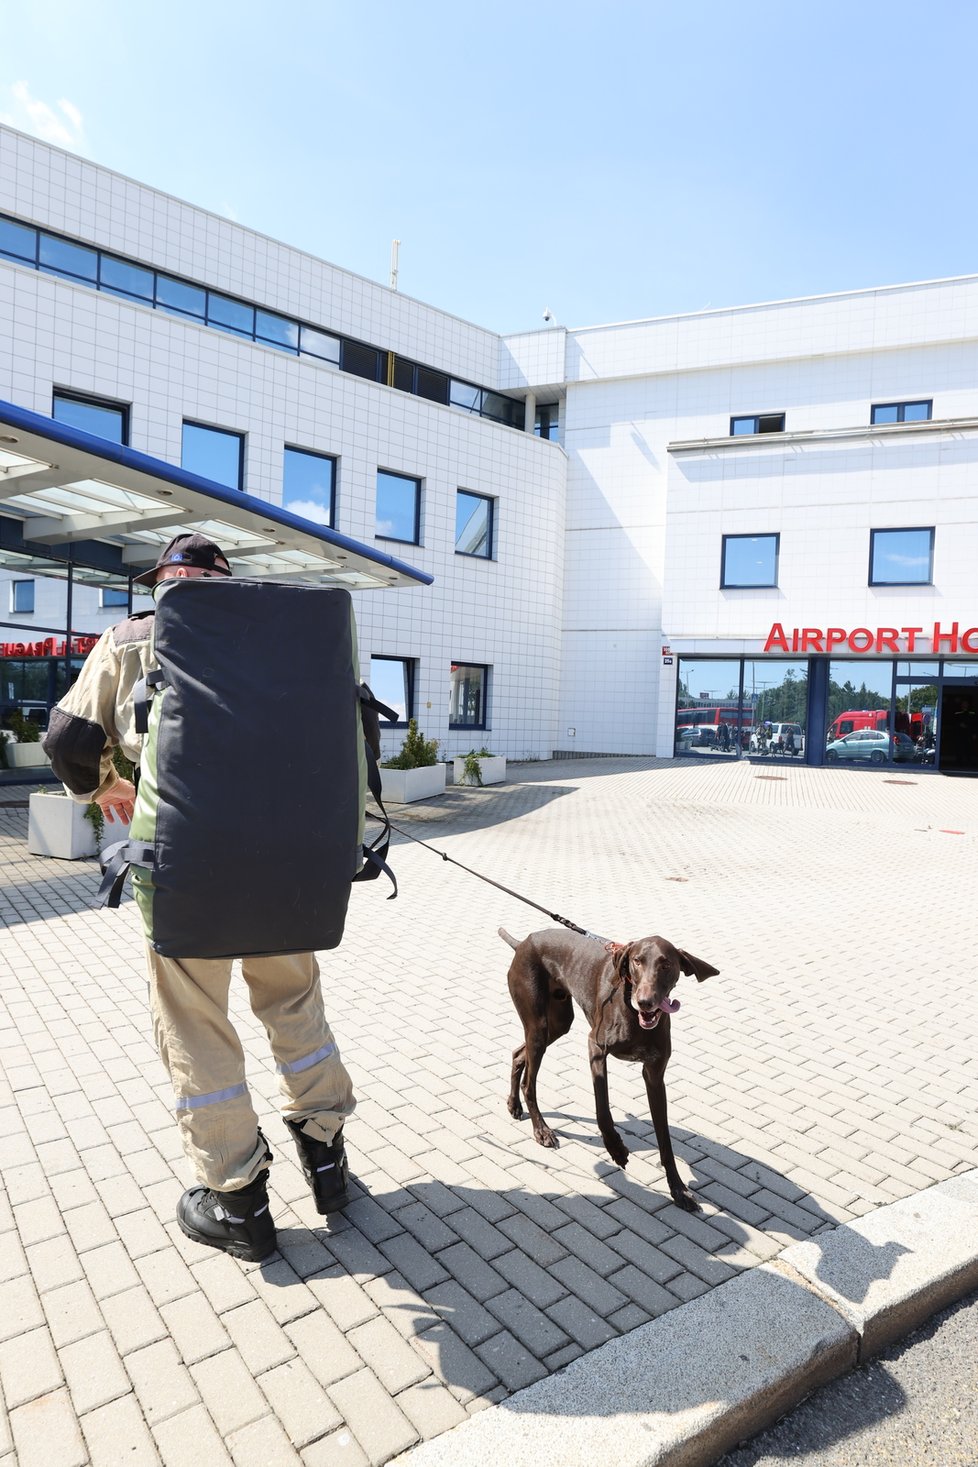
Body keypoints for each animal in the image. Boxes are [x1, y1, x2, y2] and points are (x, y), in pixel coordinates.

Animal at [504, 933, 718, 1208]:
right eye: (637, 961)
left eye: (666, 964)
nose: (645, 1002)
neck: (632, 1013)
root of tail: (523, 942)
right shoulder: (596, 1047)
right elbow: (602, 1110)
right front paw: (616, 1149)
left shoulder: (654, 1074)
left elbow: (665, 1141)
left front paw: (678, 1189)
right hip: (539, 1024)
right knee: (529, 1082)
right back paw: (541, 1129)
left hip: (558, 1022)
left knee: (518, 1054)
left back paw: (514, 1105)